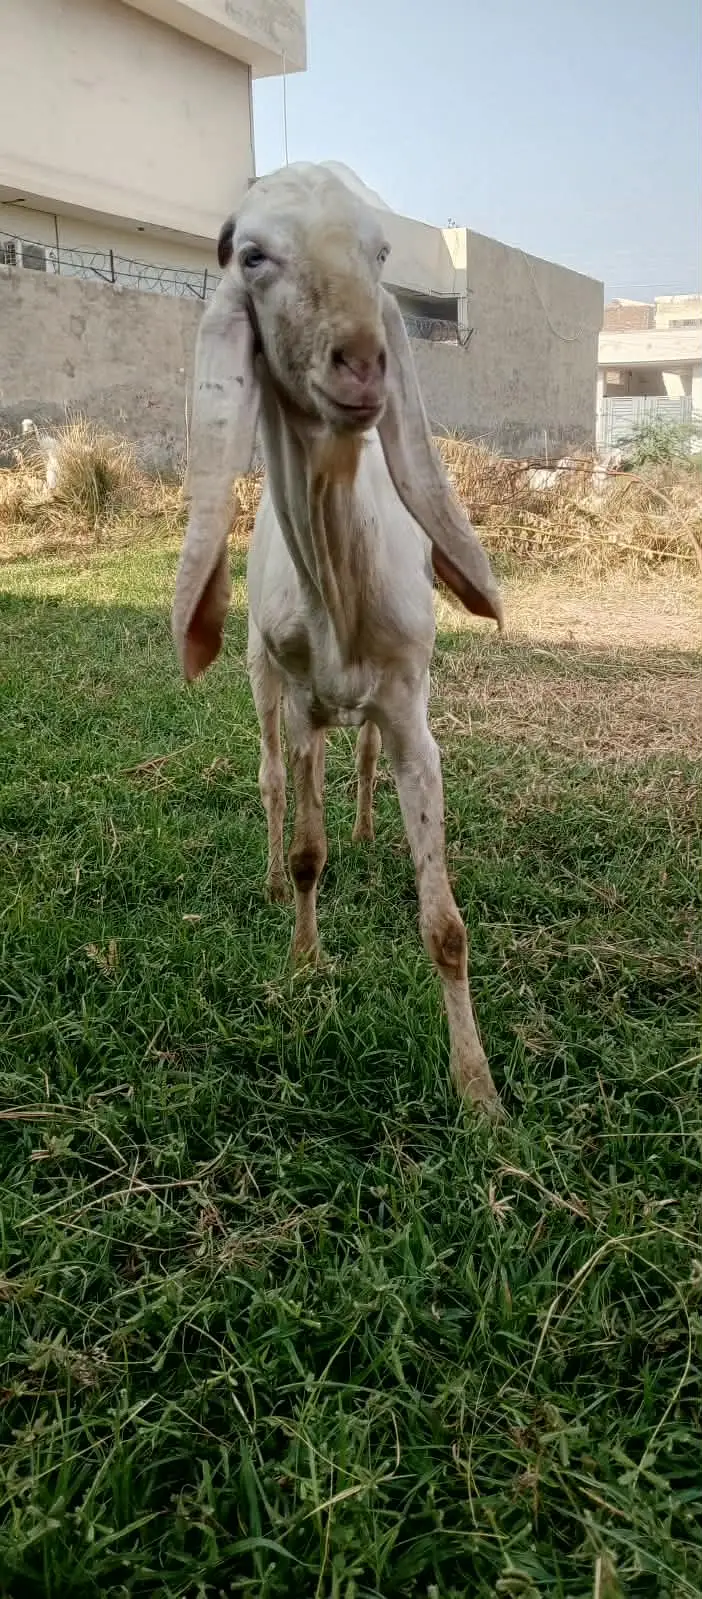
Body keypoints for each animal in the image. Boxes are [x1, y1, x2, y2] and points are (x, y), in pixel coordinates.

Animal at [172, 162, 504, 1113]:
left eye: (380, 250)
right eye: (251, 254)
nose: (364, 363)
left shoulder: (411, 705)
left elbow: (446, 924)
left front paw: (480, 1094)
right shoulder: (304, 700)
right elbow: (308, 850)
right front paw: (304, 957)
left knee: (360, 760)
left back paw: (363, 827)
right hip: (259, 678)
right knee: (273, 783)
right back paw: (270, 875)